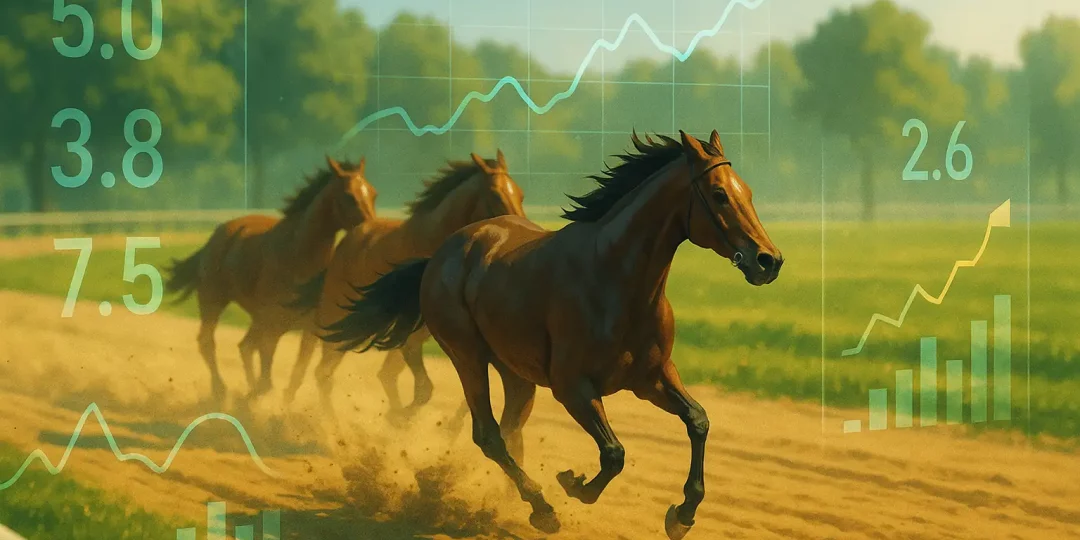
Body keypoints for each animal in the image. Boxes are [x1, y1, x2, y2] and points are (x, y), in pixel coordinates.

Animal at [165, 156, 378, 401]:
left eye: (373, 194)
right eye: (349, 196)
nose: (371, 231)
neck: (298, 259)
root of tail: (217, 235)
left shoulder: (309, 330)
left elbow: (295, 377)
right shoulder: (272, 327)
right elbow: (266, 381)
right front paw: (248, 400)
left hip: (256, 318)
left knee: (244, 347)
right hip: (213, 301)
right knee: (207, 342)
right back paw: (220, 391)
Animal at [283, 151, 525, 418]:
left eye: (520, 193)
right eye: (495, 194)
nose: (519, 231)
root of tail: (350, 239)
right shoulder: (412, 335)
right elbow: (421, 388)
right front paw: (398, 419)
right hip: (334, 318)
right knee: (320, 369)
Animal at [322, 131, 783, 539]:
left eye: (748, 192)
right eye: (719, 194)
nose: (769, 260)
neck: (616, 280)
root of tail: (439, 254)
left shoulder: (651, 378)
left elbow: (698, 420)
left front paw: (682, 514)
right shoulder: (572, 387)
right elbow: (614, 453)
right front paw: (572, 483)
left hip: (516, 374)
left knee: (510, 429)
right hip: (466, 354)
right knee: (489, 434)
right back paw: (539, 507)